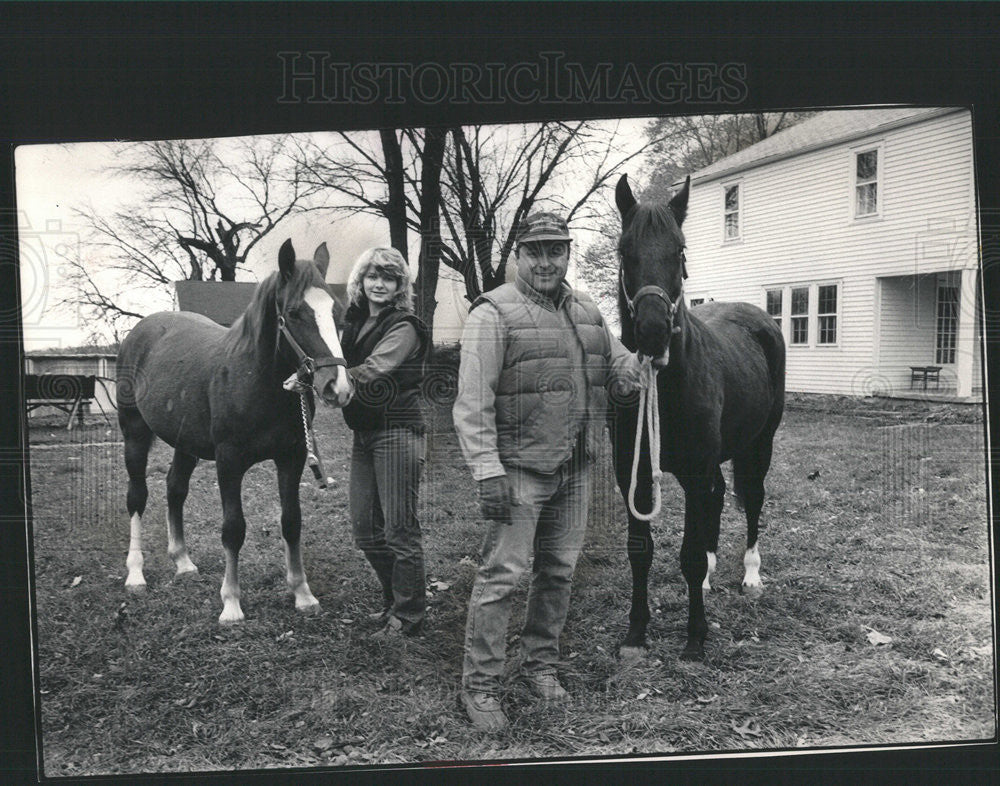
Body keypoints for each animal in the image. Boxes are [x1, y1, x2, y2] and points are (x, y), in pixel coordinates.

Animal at [117, 239, 354, 620]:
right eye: (295, 312)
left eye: (338, 312)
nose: (339, 387)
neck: (258, 381)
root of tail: (140, 333)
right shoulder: (229, 462)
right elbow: (233, 529)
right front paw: (230, 604)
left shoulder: (292, 458)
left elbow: (292, 521)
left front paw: (302, 593)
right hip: (134, 435)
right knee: (137, 497)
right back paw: (135, 574)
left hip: (185, 443)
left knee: (175, 489)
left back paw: (183, 562)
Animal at [604, 175, 784, 660]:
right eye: (624, 250)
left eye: (680, 250)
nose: (653, 332)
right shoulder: (634, 472)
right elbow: (640, 550)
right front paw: (636, 632)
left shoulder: (698, 465)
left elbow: (686, 554)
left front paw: (696, 638)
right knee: (718, 497)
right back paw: (710, 572)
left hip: (758, 445)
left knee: (752, 499)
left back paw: (751, 574)